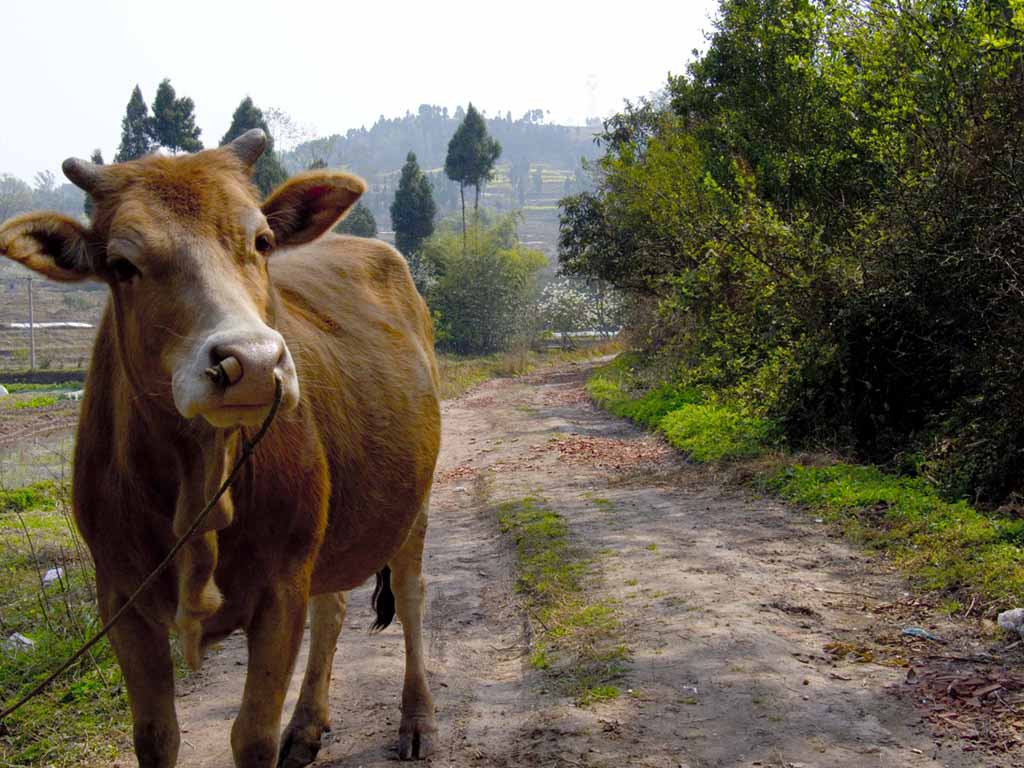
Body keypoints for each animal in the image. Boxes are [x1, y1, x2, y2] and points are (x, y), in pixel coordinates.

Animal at [0, 129, 440, 765]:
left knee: (409, 595)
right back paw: (307, 725)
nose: (252, 363)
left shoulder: (281, 590)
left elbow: (251, 736)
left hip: (415, 502)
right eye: (121, 264)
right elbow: (156, 736)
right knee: (332, 609)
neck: (198, 477)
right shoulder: (121, 601)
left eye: (261, 241)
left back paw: (417, 718)